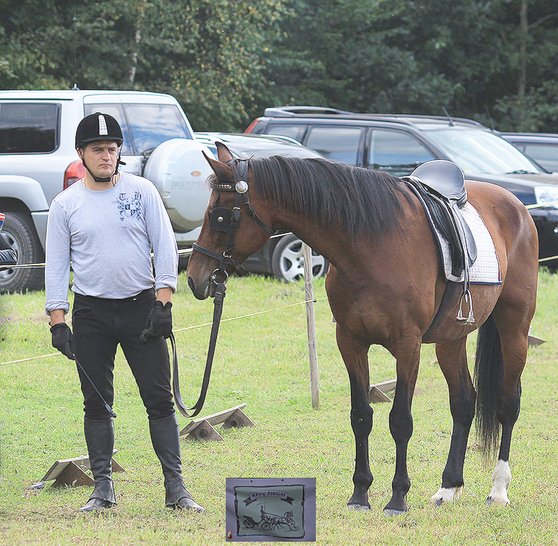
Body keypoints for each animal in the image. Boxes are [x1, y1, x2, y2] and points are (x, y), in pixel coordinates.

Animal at [188, 142, 540, 512]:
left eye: (218, 215)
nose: (195, 277)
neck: (371, 244)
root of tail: (514, 204)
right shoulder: (351, 341)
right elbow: (361, 416)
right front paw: (360, 493)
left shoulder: (408, 346)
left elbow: (400, 420)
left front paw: (398, 497)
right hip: (451, 339)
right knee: (463, 403)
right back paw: (448, 487)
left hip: (514, 328)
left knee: (508, 404)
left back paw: (498, 489)